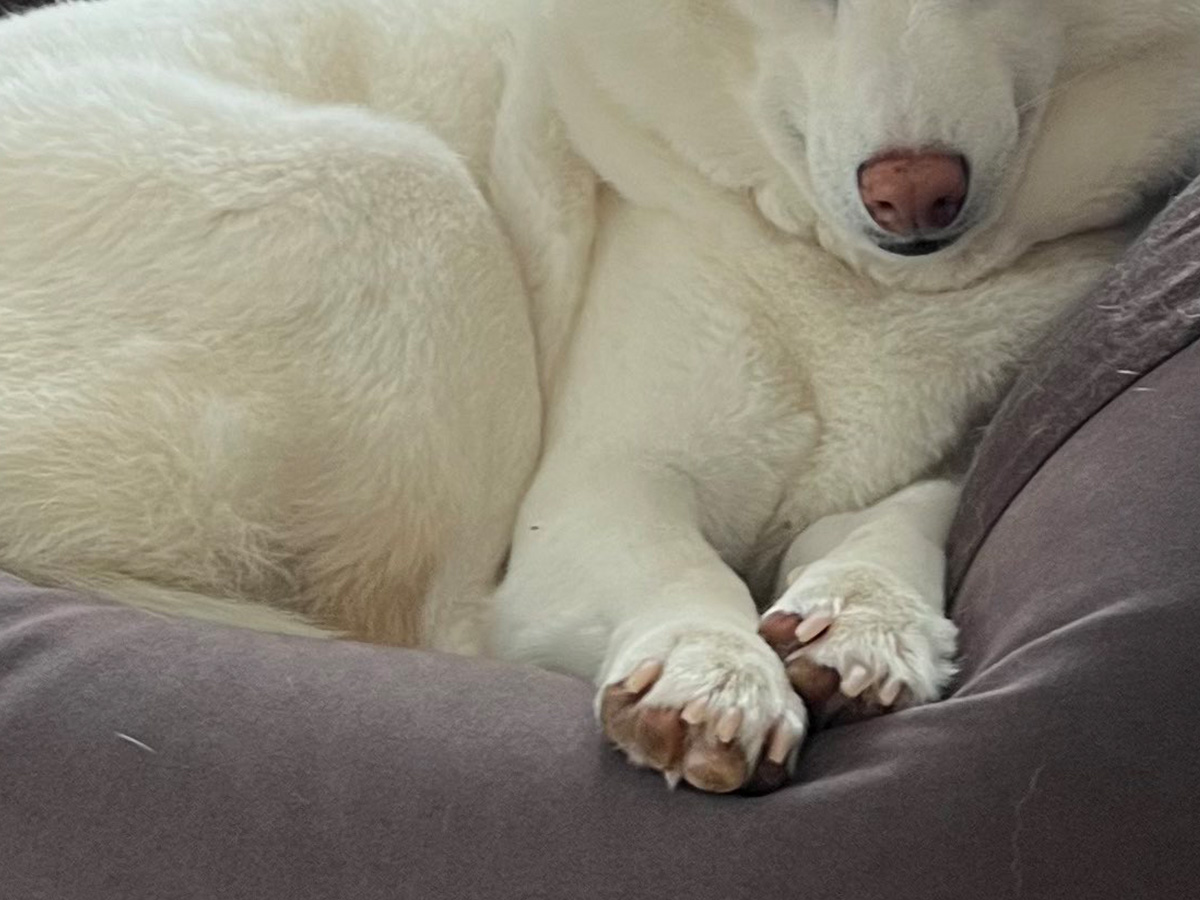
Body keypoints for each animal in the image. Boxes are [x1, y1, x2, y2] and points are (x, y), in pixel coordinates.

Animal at [2, 0, 1200, 787]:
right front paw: (712, 664)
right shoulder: (594, 493)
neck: (865, 289)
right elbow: (677, 565)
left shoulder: (962, 435)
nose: (913, 193)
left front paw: (865, 617)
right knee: (448, 622)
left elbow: (916, 506)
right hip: (407, 196)